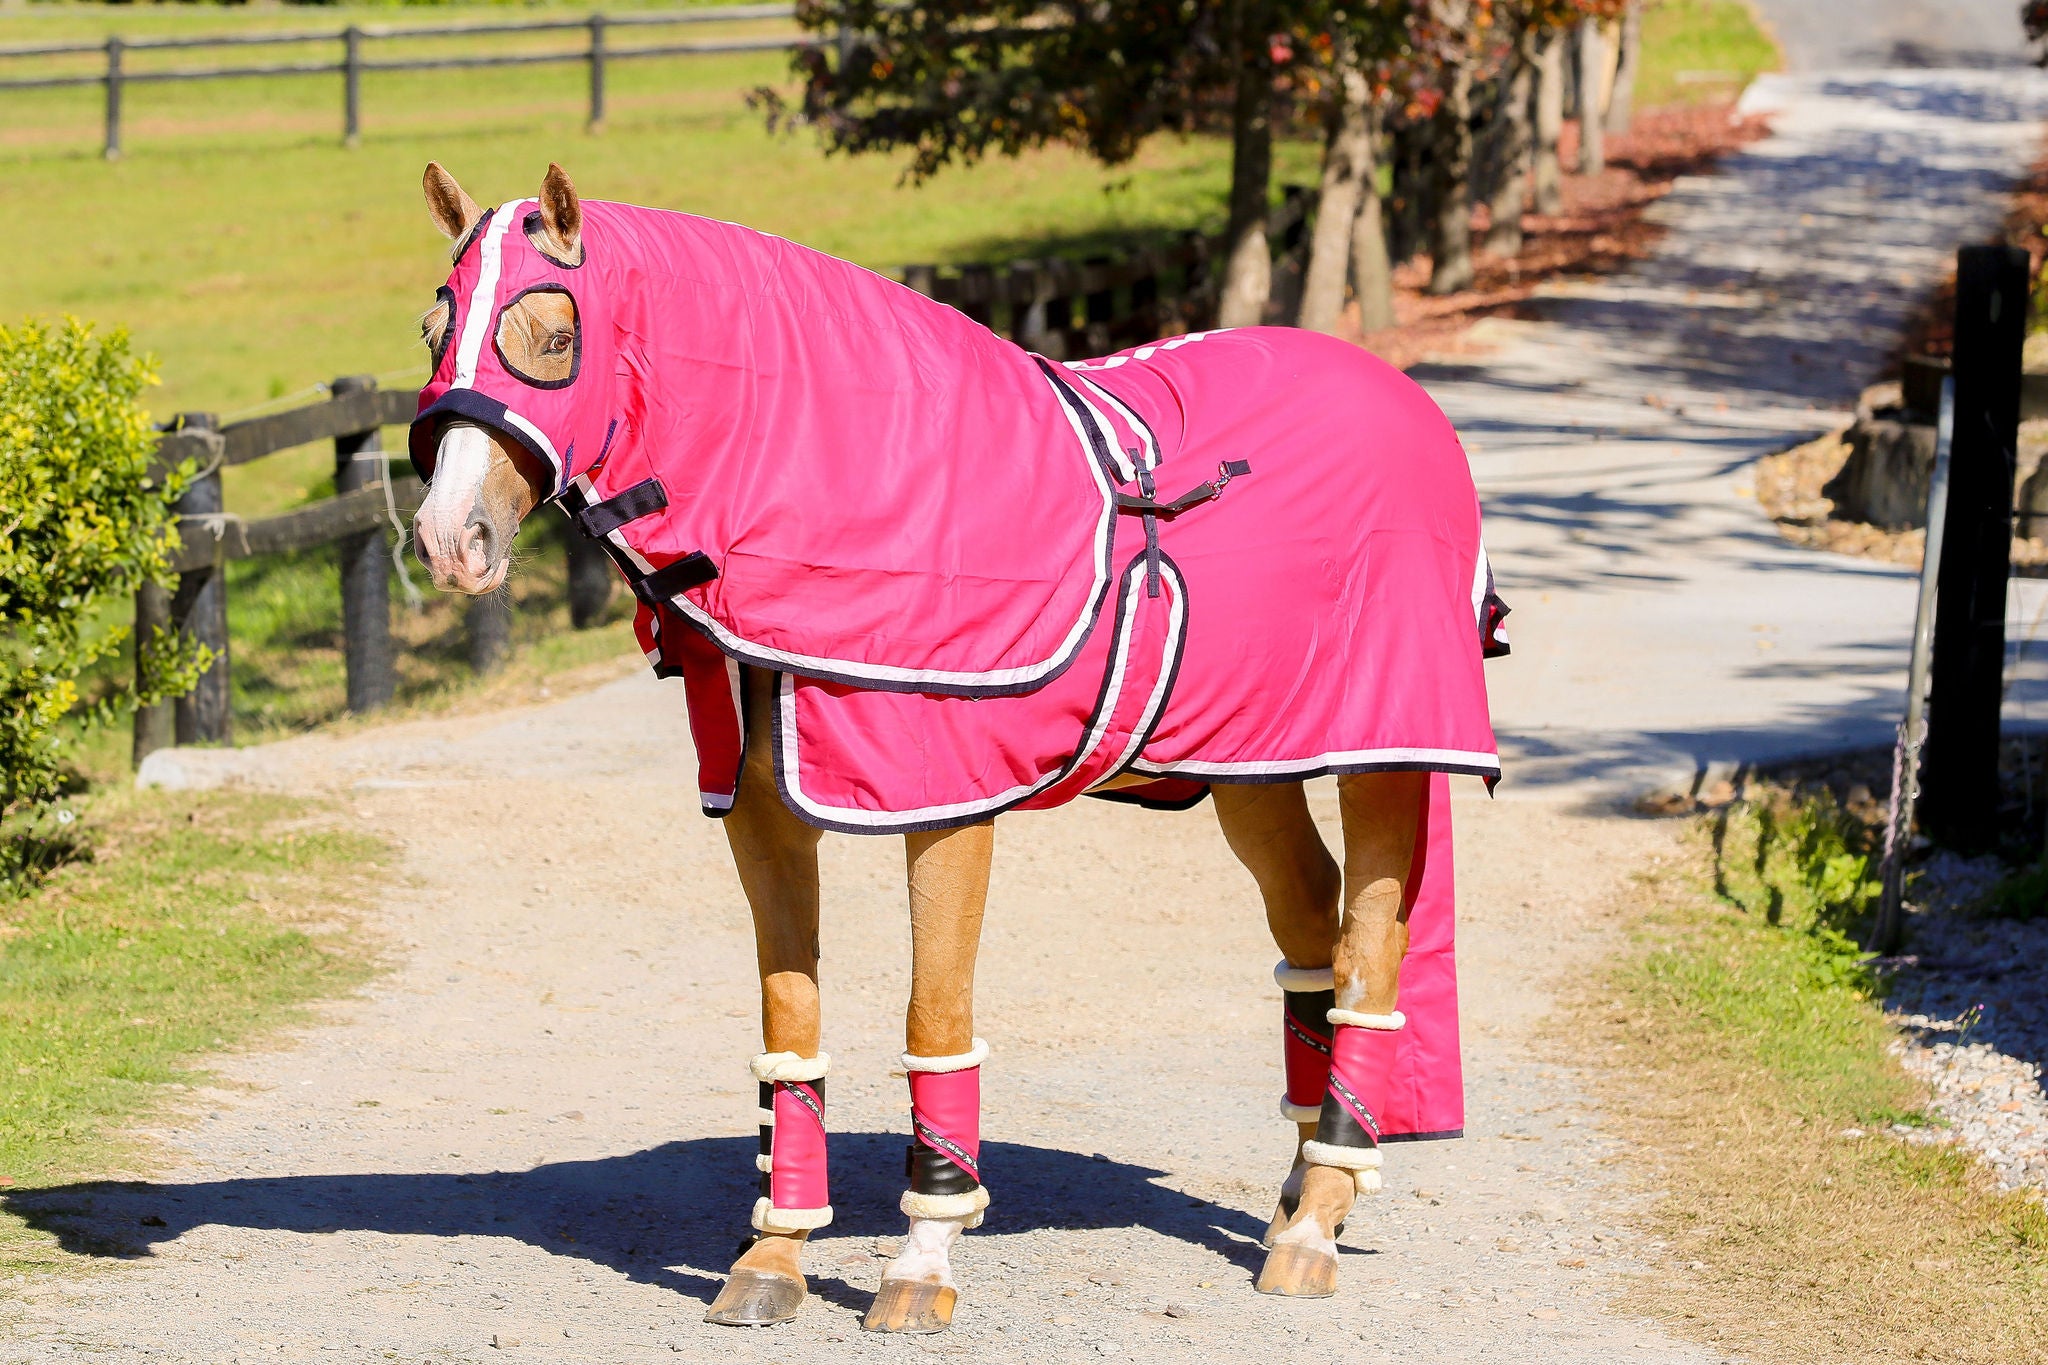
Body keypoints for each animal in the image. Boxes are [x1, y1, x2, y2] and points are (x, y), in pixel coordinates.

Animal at [407, 160, 1515, 1334]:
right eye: (434, 330)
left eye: (551, 334)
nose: (446, 537)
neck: (853, 482)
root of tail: (1399, 394)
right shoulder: (762, 817)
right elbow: (790, 1018)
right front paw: (773, 1256)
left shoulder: (944, 810)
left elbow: (933, 1015)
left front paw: (922, 1257)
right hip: (1247, 760)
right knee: (1310, 925)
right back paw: (1302, 1187)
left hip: (1387, 750)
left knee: (1369, 947)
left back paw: (1318, 1216)